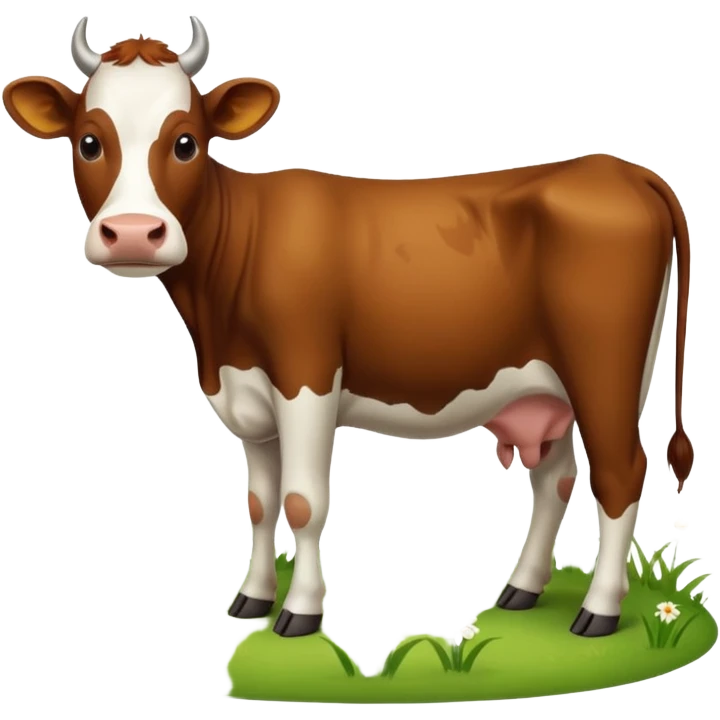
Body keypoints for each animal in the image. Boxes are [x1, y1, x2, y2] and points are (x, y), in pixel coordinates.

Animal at [2, 16, 695, 640]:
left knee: (619, 473)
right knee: (556, 477)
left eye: (186, 142)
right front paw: (253, 599)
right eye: (90, 141)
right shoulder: (248, 394)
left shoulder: (306, 377)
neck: (217, 321)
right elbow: (261, 503)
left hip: (606, 369)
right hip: (541, 386)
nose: (132, 235)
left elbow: (303, 502)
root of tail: (621, 170)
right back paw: (521, 590)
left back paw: (599, 612)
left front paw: (301, 612)